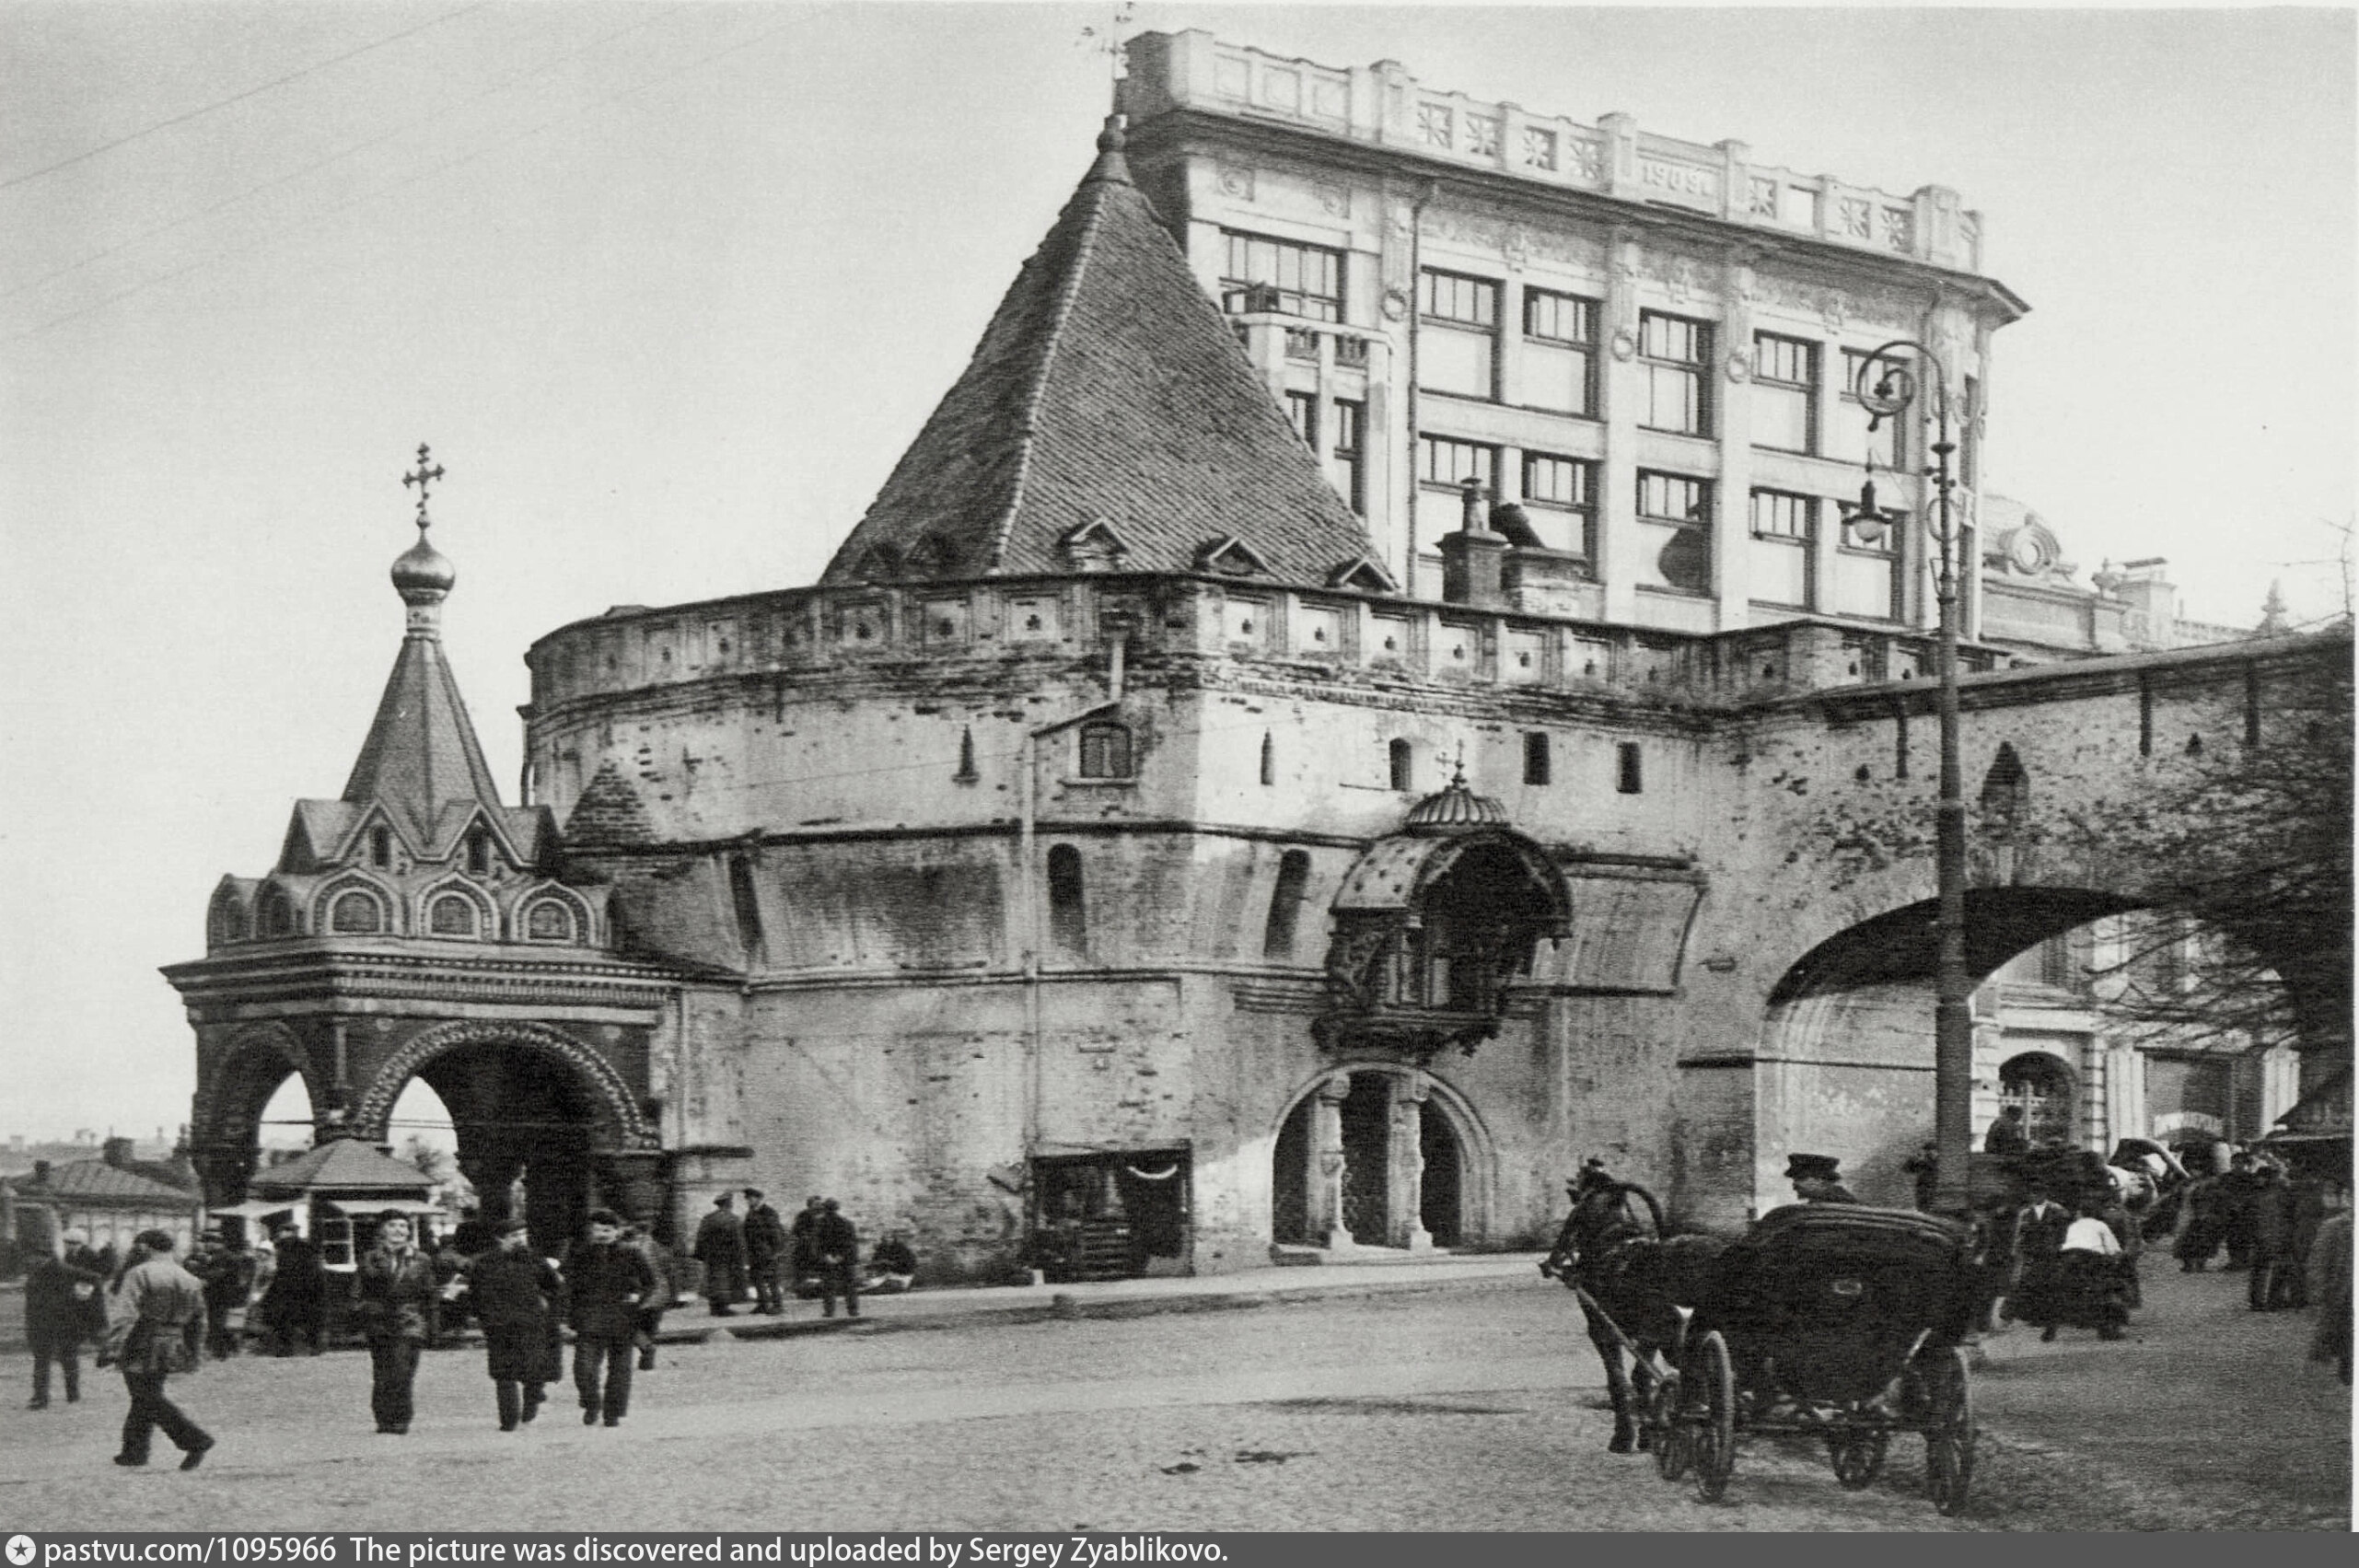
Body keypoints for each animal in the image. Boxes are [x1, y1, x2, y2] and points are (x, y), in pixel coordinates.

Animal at [1528, 1155, 1736, 1452]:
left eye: (1578, 1180)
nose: (1552, 1264)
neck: (1612, 1238)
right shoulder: (1646, 1338)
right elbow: (1641, 1379)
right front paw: (1648, 1432)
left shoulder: (1602, 1331)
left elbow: (1619, 1381)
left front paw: (1624, 1435)